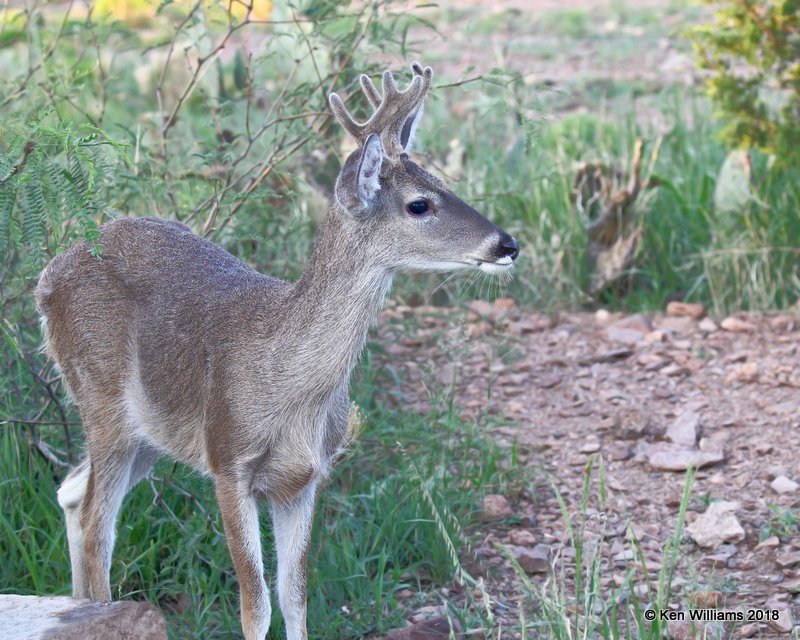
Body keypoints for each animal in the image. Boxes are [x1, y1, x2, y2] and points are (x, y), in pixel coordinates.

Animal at [37, 63, 520, 640]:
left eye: (445, 183)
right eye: (419, 205)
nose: (508, 244)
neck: (287, 383)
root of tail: (47, 277)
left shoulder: (306, 478)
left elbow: (295, 595)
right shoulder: (228, 461)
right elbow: (256, 602)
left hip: (147, 433)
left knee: (70, 491)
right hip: (101, 397)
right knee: (97, 524)